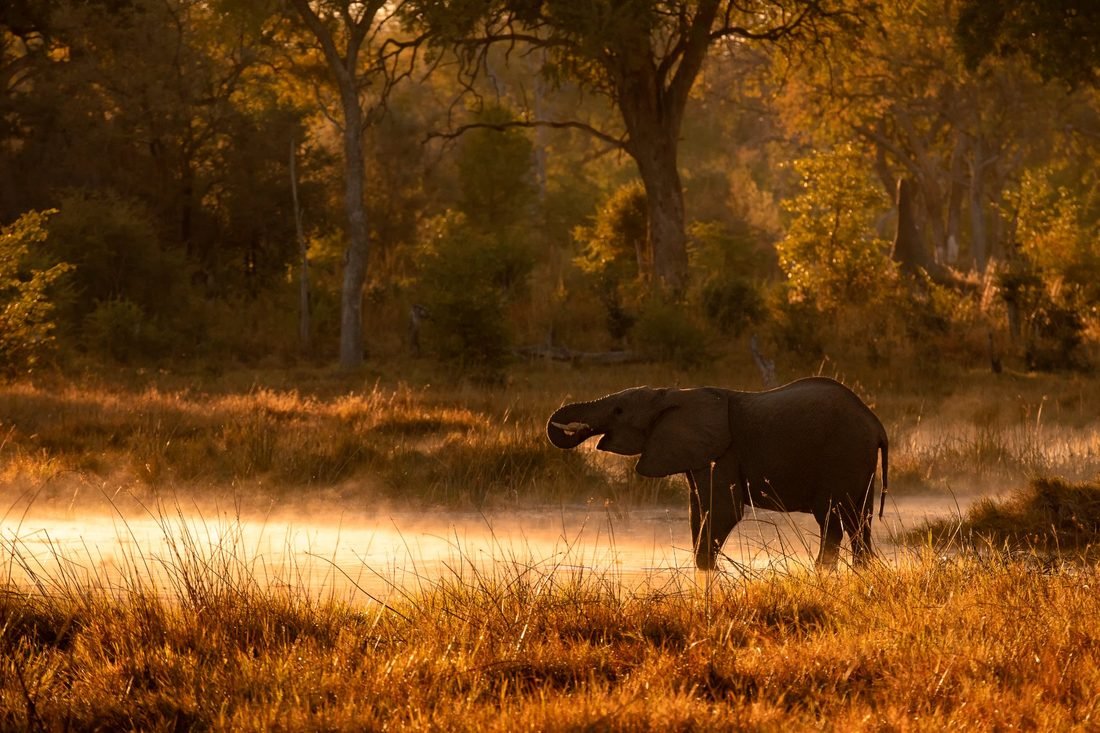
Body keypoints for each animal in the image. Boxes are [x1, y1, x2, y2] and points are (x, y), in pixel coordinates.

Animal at [546, 377, 888, 570]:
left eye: (618, 411)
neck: (672, 394)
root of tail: (876, 424)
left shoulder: (724, 452)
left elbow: (723, 511)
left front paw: (706, 571)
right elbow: (699, 511)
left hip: (841, 455)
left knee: (833, 519)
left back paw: (821, 571)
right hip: (860, 464)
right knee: (860, 522)